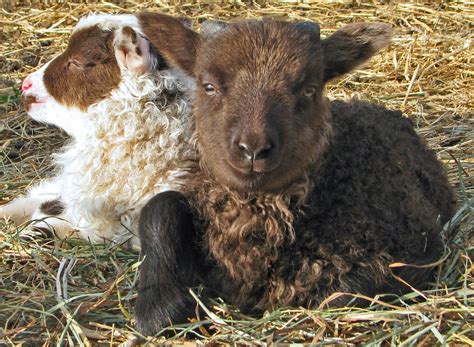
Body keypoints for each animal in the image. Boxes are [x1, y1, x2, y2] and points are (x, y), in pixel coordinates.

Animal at [133, 17, 456, 336]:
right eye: (208, 86)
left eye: (309, 89)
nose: (253, 149)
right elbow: (159, 209)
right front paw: (160, 307)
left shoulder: (415, 248)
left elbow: (342, 292)